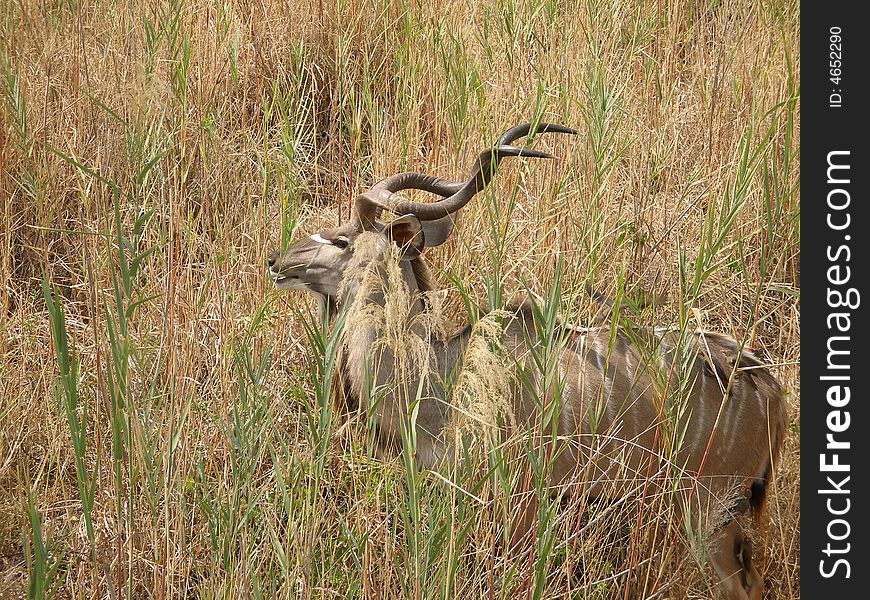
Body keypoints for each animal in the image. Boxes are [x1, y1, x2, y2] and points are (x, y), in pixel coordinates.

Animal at [270, 123, 792, 600]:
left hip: (706, 513)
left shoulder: (515, 499)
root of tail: (770, 389)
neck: (440, 378)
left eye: (342, 240)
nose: (278, 261)